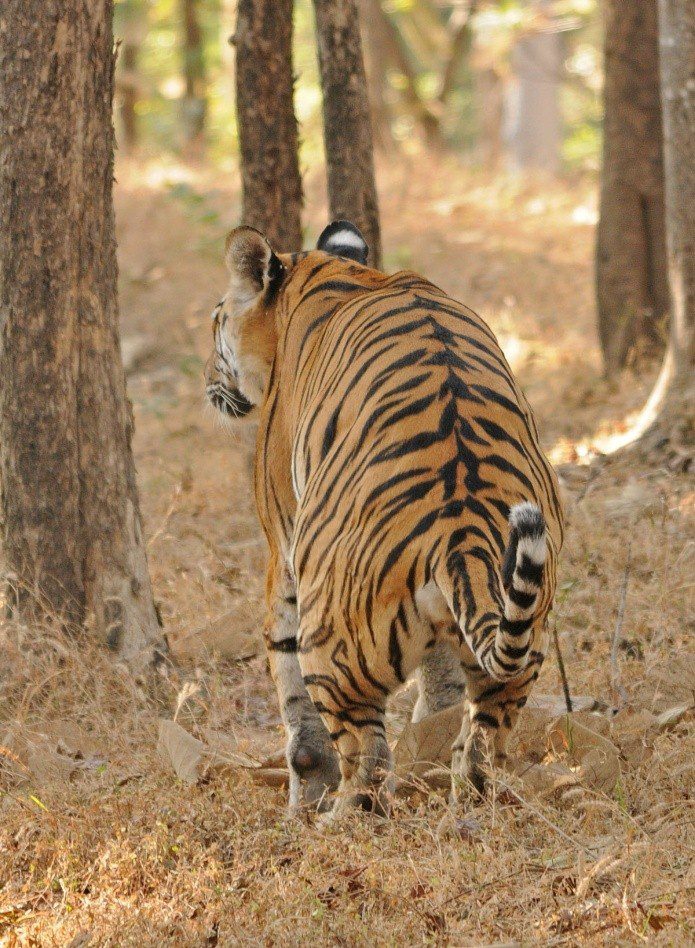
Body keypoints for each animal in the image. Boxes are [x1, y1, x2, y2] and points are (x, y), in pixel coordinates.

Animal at [205, 218, 564, 820]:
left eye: (215, 323)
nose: (209, 384)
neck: (330, 272)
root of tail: (463, 531)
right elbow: (441, 680)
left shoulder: (282, 536)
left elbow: (286, 676)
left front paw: (305, 794)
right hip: (522, 648)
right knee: (483, 738)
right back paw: (470, 801)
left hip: (333, 647)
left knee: (369, 761)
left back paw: (338, 819)